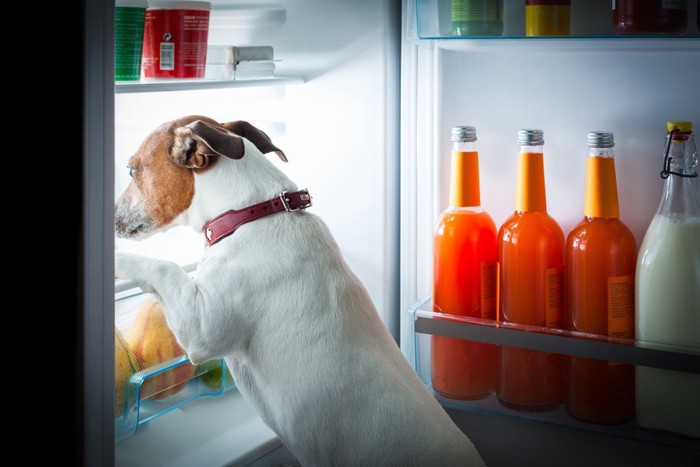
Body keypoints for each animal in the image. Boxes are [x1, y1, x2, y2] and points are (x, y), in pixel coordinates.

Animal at [115, 114, 486, 467]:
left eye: (133, 169)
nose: (113, 216)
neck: (251, 215)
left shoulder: (202, 330)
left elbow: (165, 267)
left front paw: (119, 259)